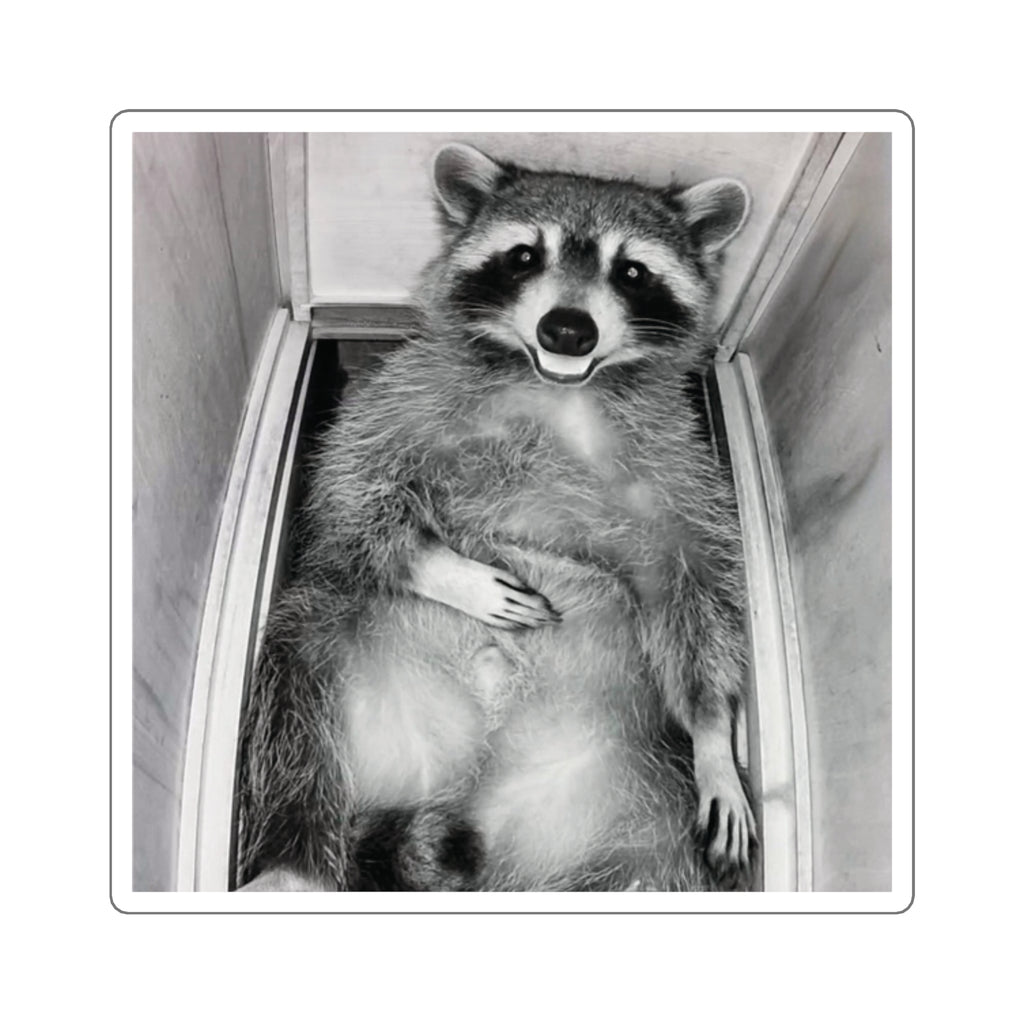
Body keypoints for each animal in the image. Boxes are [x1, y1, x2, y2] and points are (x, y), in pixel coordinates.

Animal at [235, 143, 756, 892]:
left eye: (631, 270)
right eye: (524, 256)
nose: (567, 330)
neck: (559, 389)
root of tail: (470, 790)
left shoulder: (681, 466)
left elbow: (698, 590)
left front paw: (715, 731)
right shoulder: (405, 392)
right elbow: (349, 492)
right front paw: (445, 568)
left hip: (637, 788)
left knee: (659, 864)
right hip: (344, 656)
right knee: (295, 688)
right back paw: (291, 860)